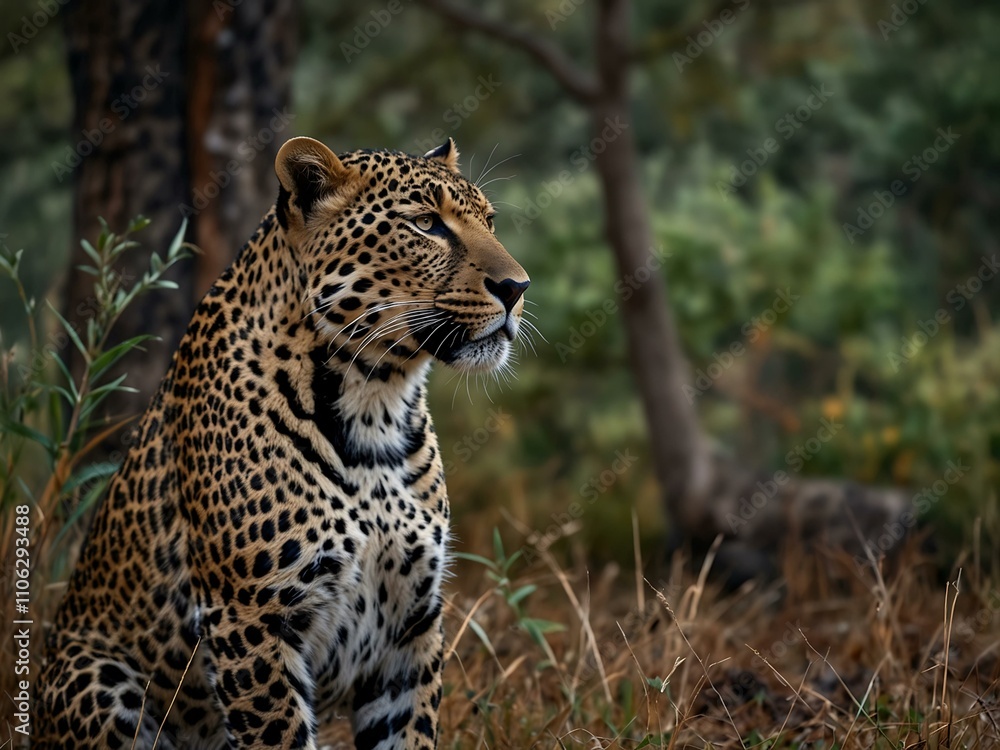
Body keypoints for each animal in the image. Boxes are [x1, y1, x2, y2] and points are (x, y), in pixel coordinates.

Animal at [34, 136, 530, 749]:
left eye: (490, 222)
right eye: (426, 225)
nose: (518, 288)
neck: (378, 407)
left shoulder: (411, 624)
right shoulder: (251, 617)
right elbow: (280, 734)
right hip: (99, 676)